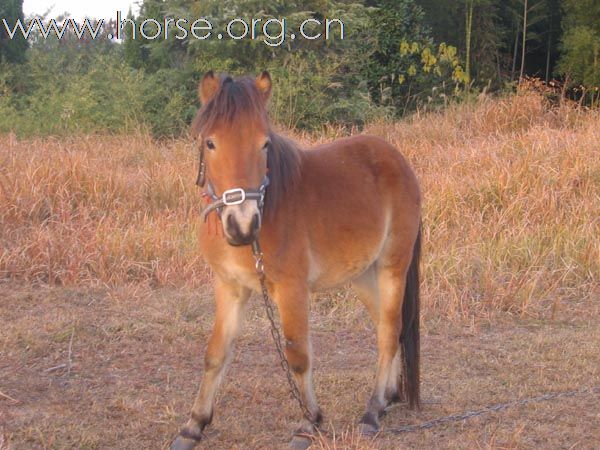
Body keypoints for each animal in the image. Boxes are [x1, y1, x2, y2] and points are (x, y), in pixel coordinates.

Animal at [169, 72, 422, 448]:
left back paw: (373, 411)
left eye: (264, 144)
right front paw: (193, 426)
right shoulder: (229, 287)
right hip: (363, 275)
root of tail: (398, 160)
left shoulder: (292, 290)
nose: (243, 226)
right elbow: (215, 353)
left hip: (393, 266)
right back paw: (389, 396)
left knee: (390, 331)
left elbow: (298, 356)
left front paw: (309, 422)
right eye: (210, 143)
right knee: (385, 327)